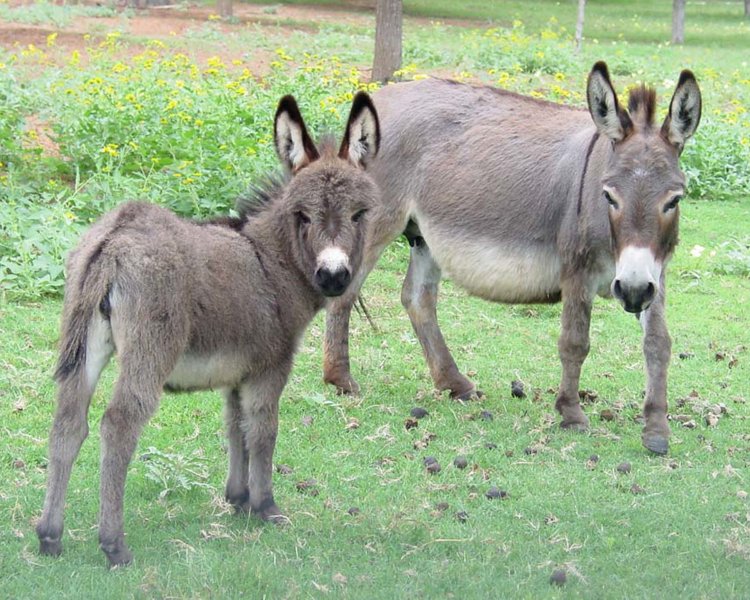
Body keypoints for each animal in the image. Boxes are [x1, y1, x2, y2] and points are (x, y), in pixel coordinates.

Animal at [36, 91, 382, 564]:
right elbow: (263, 429)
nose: (333, 277)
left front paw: (238, 498)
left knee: (68, 422)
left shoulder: (237, 371)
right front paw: (266, 506)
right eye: (303, 215)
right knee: (119, 423)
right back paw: (113, 544)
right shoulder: (271, 366)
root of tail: (115, 237)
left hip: (85, 341)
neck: (272, 259)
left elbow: (235, 427)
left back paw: (49, 536)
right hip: (150, 350)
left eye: (359, 214)